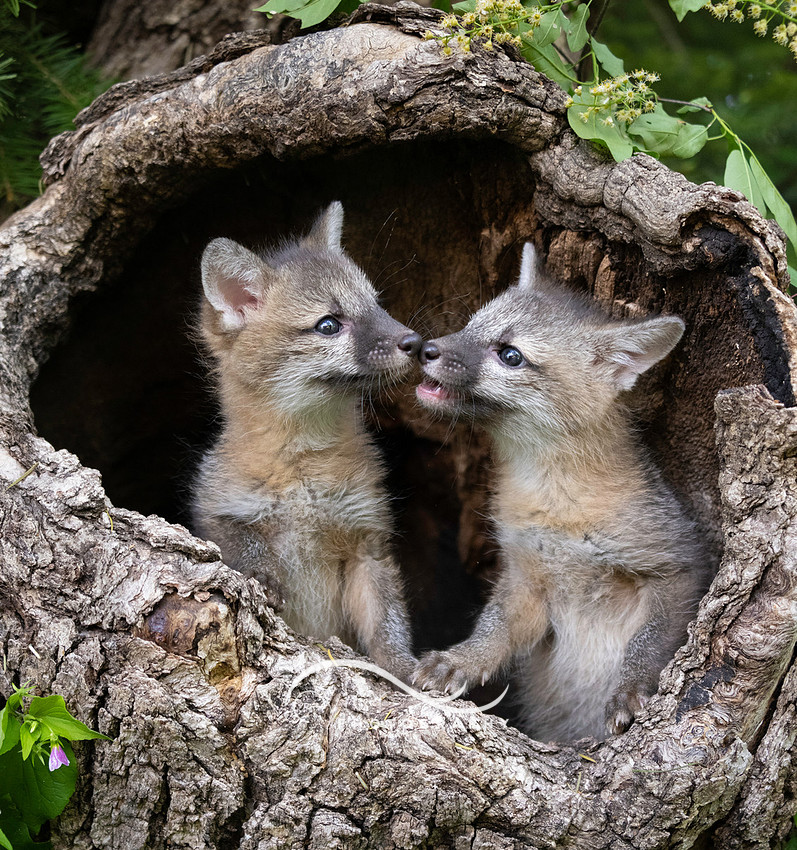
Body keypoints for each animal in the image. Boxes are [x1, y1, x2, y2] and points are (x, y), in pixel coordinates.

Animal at [191, 202, 420, 680]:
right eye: (329, 325)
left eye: (377, 304)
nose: (414, 341)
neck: (304, 473)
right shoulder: (215, 508)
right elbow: (240, 542)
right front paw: (263, 578)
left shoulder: (367, 541)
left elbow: (387, 625)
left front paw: (405, 672)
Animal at [412, 243, 710, 741]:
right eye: (471, 324)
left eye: (510, 355)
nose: (426, 347)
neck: (554, 501)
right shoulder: (525, 579)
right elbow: (493, 629)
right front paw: (461, 660)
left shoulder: (677, 567)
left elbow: (647, 645)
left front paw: (630, 691)